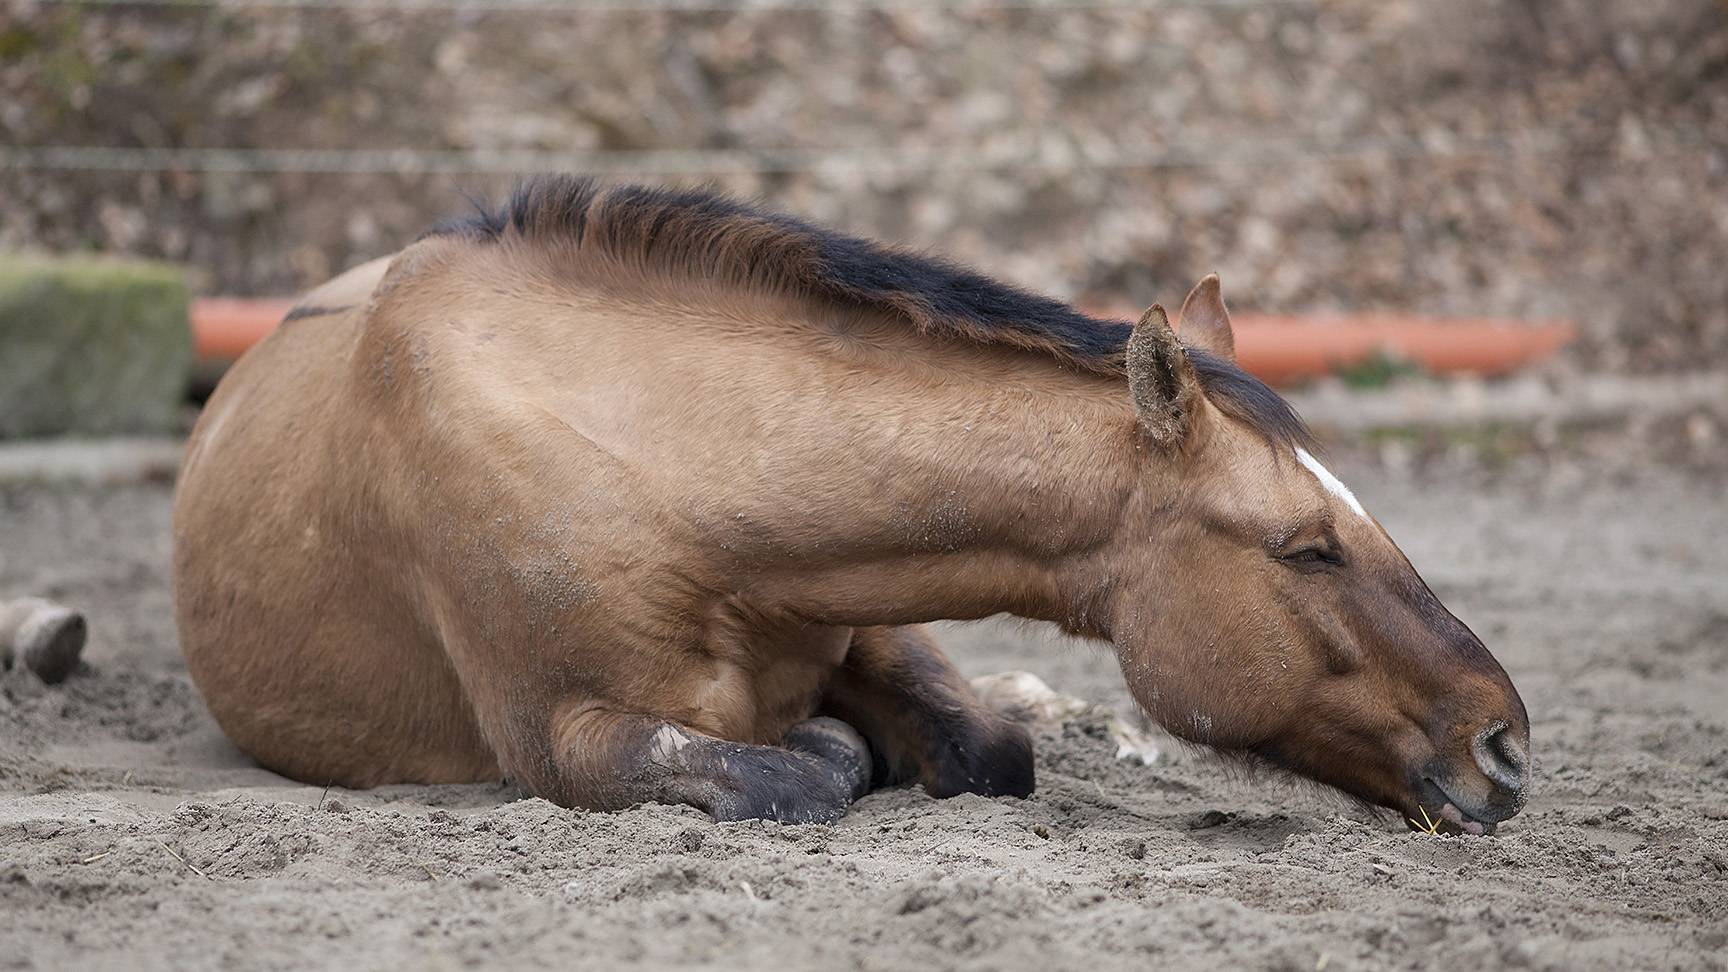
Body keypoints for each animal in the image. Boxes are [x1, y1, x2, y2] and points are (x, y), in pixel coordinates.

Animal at [173, 177, 1530, 834]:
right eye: (1306, 550)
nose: (1505, 743)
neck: (663, 464)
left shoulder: (872, 608)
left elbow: (989, 748)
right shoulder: (563, 740)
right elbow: (802, 771)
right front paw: (840, 752)